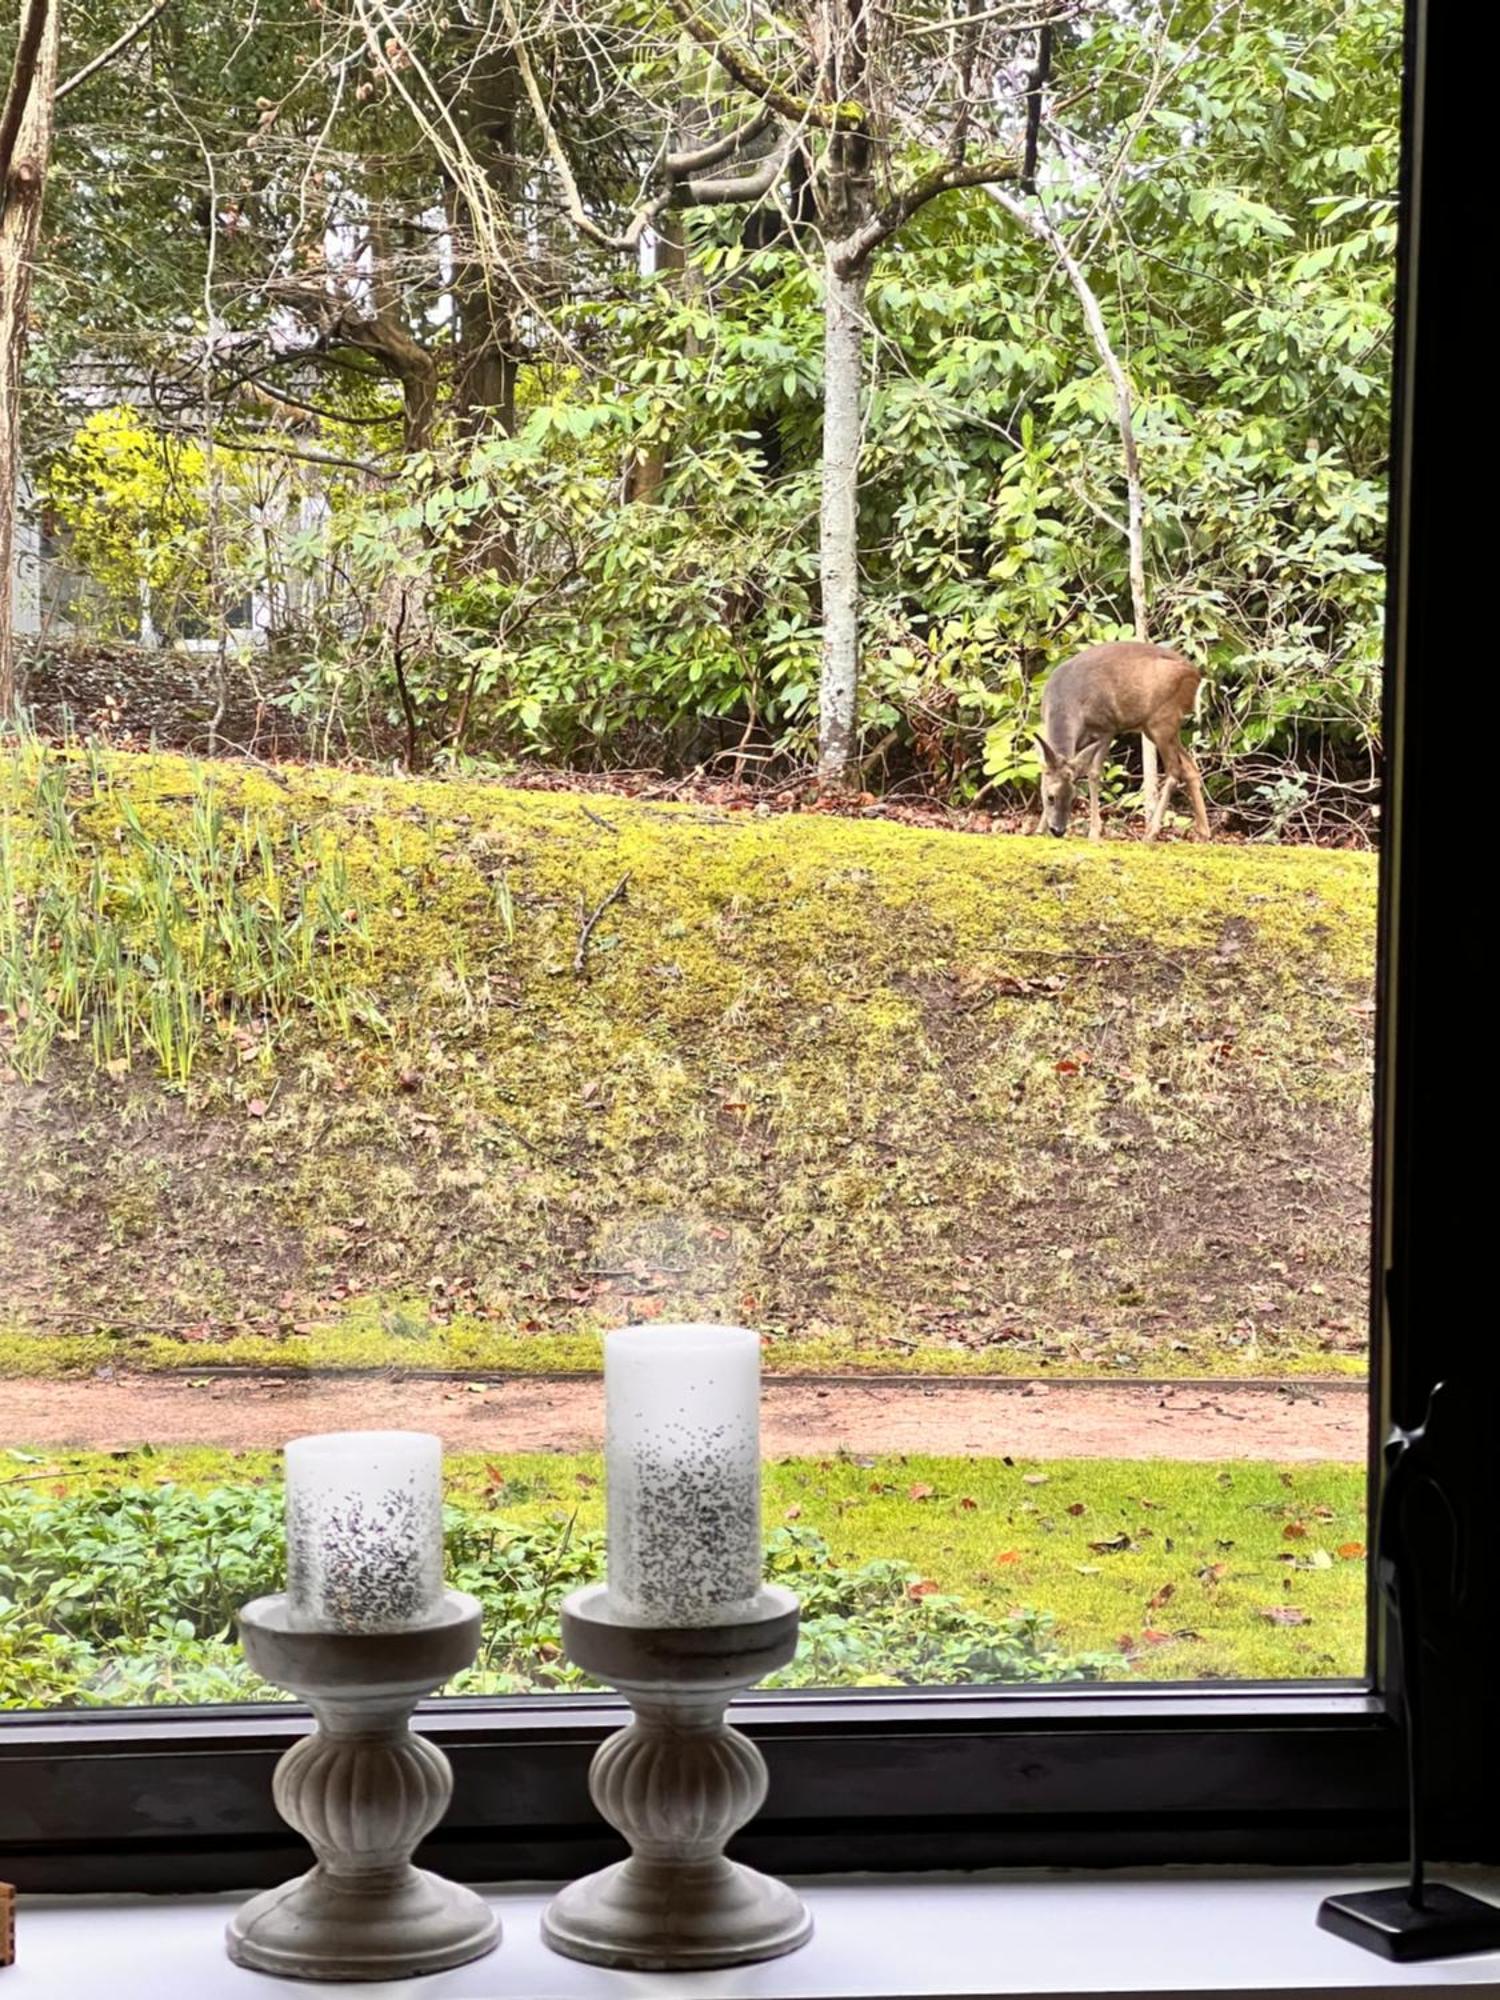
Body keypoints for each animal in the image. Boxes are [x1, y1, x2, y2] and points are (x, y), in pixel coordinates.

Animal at [1032, 644, 1208, 840]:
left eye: (1073, 798)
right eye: (1050, 797)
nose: (1058, 830)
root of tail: (1197, 677)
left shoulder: (1107, 727)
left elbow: (1094, 773)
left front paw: (1095, 831)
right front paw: (1038, 830)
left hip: (1163, 719)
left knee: (1174, 771)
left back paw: (1151, 832)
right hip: (1156, 727)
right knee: (1189, 766)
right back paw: (1204, 831)